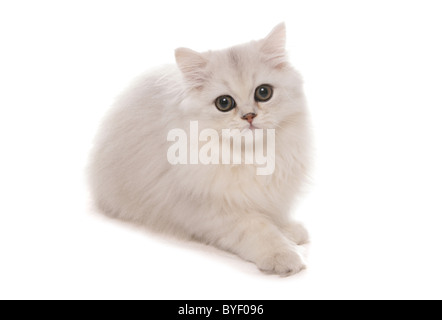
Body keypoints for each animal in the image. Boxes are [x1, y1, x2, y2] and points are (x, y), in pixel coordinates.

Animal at [89, 23, 310, 276]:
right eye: (224, 103)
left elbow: (275, 216)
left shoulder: (271, 192)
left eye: (263, 93)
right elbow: (259, 229)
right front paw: (283, 256)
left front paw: (291, 230)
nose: (249, 116)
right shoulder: (213, 211)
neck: (249, 155)